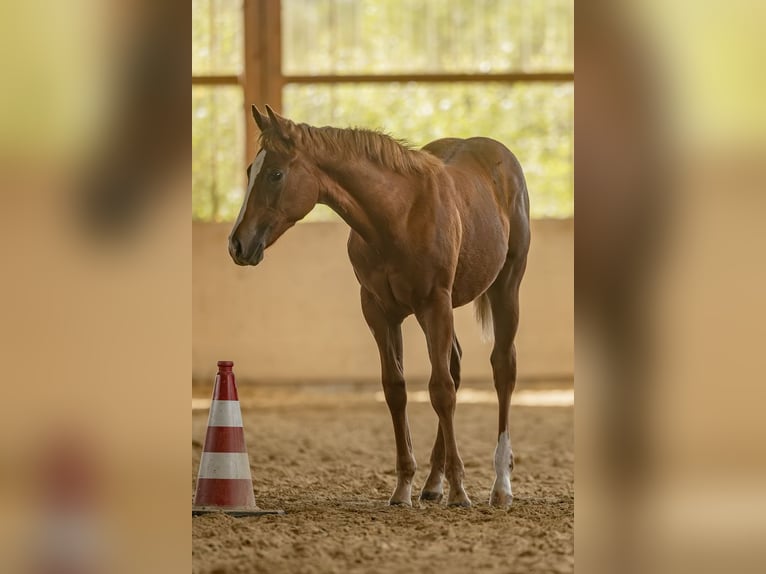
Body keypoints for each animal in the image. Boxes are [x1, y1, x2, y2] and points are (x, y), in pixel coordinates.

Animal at [229, 105, 530, 507]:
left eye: (276, 174)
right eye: (251, 171)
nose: (237, 244)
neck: (398, 216)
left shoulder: (434, 303)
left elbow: (441, 390)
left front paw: (459, 490)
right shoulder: (379, 312)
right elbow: (396, 389)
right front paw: (404, 487)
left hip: (505, 287)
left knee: (502, 368)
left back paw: (500, 485)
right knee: (454, 364)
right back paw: (433, 483)